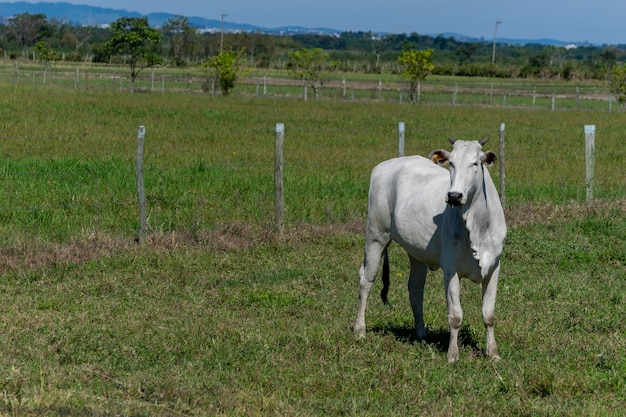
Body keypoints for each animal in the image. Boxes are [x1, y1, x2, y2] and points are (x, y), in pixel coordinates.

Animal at [354, 139, 504, 360]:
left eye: (475, 163)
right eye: (451, 163)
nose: (454, 195)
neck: (478, 226)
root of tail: (386, 165)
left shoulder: (493, 267)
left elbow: (489, 314)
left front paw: (493, 354)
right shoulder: (450, 270)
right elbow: (455, 315)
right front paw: (453, 355)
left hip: (416, 253)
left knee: (415, 289)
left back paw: (421, 333)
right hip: (375, 236)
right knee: (366, 280)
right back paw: (359, 330)